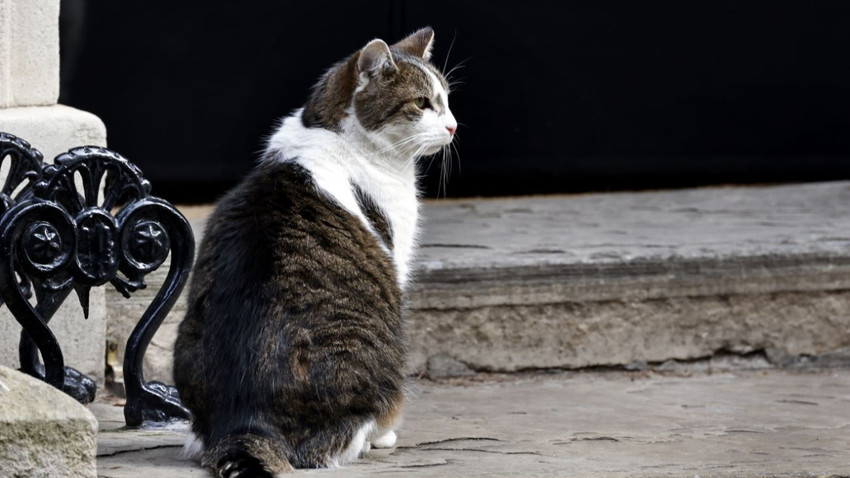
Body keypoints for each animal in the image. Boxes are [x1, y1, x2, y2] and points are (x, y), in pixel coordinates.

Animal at [171, 27, 458, 478]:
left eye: (445, 99)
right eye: (422, 103)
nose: (453, 126)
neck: (328, 129)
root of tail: (248, 422)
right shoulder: (396, 256)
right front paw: (384, 438)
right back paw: (377, 437)